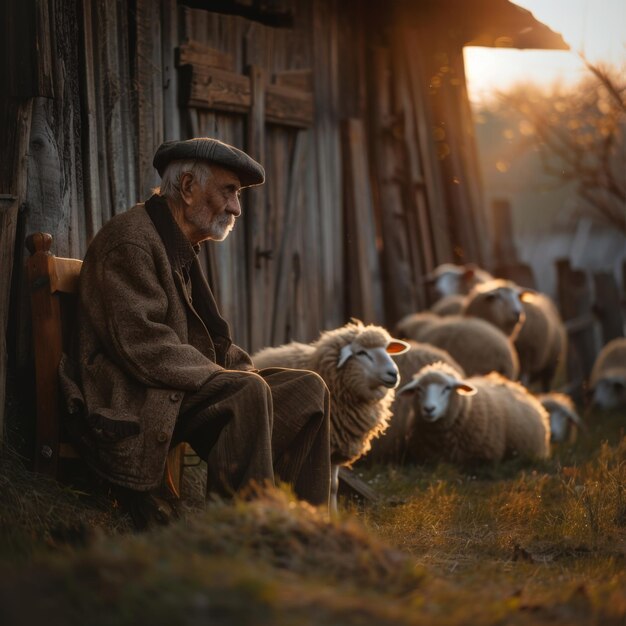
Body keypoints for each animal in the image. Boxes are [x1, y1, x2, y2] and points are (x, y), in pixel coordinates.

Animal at [249, 320, 410, 510]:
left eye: (386, 349)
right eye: (361, 353)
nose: (394, 374)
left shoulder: (337, 446)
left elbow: (333, 485)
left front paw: (334, 512)